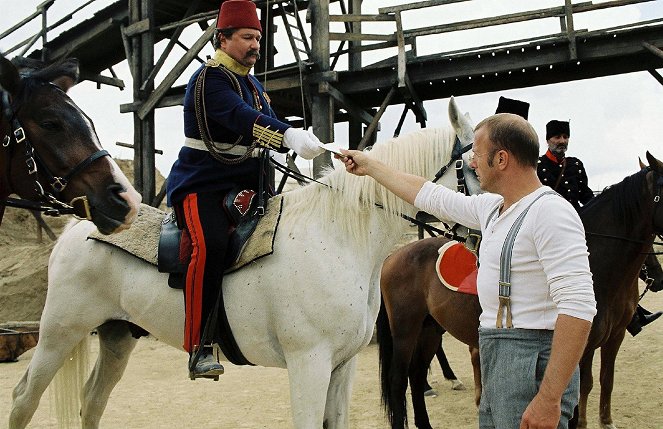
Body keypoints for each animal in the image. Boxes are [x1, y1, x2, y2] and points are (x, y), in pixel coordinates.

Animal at [10, 98, 478, 428]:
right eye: (472, 165)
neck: (338, 237)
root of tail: (79, 224)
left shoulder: (342, 367)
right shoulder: (309, 364)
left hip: (117, 336)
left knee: (92, 402)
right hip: (58, 335)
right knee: (22, 401)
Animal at [378, 152, 663, 428]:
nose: (658, 278)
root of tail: (392, 257)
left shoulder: (613, 338)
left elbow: (605, 379)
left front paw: (606, 420)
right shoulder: (581, 351)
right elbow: (582, 393)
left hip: (430, 328)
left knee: (416, 376)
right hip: (406, 330)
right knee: (398, 381)